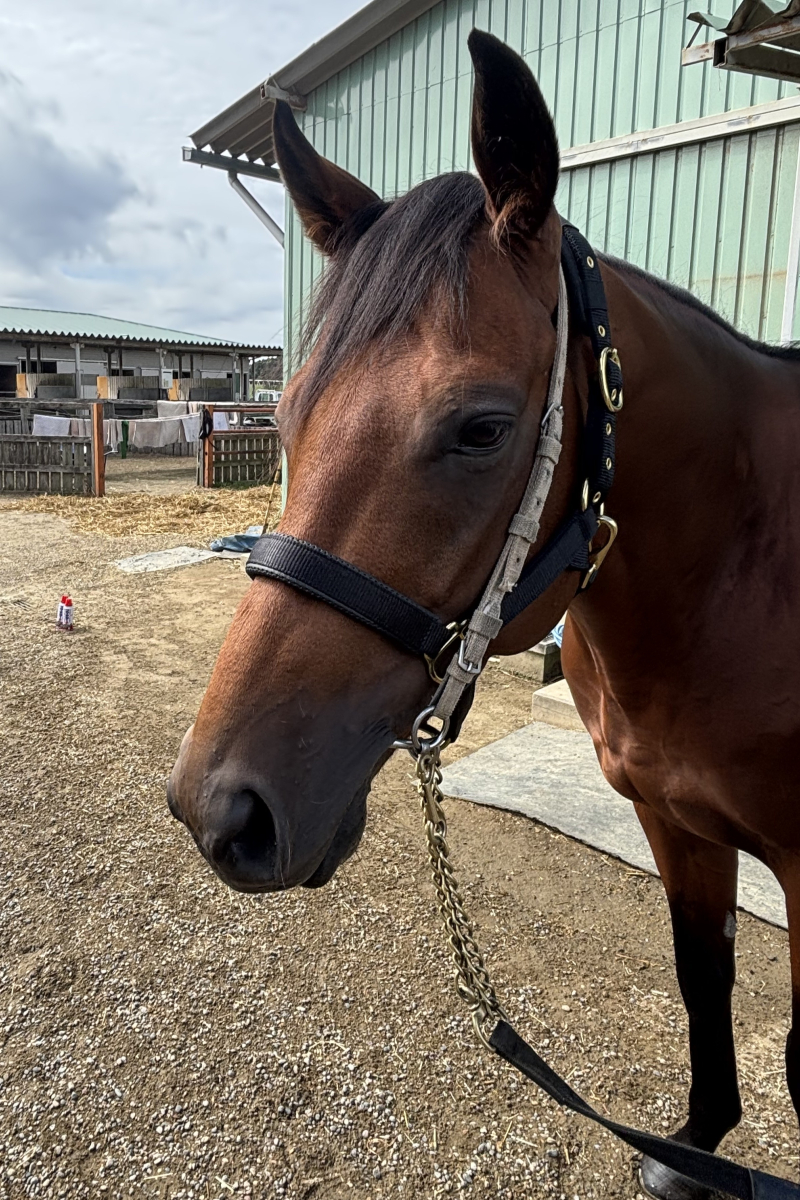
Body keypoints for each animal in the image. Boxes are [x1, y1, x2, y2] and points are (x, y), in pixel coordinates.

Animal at [167, 30, 800, 1198]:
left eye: (480, 429)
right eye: (286, 413)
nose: (218, 810)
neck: (742, 563)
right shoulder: (674, 822)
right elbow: (703, 978)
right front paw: (694, 1150)